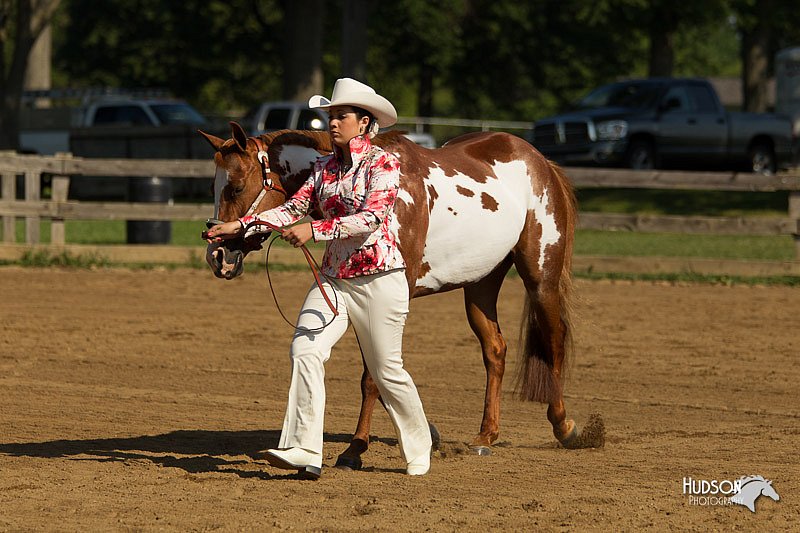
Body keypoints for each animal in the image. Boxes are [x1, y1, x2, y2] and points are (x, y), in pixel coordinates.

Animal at [200, 122, 584, 468]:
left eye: (235, 187)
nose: (217, 256)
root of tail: (540, 161)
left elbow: (373, 378)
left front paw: (356, 448)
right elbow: (381, 379)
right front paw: (426, 433)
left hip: (541, 278)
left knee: (554, 341)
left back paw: (566, 427)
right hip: (481, 283)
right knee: (495, 350)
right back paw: (486, 435)